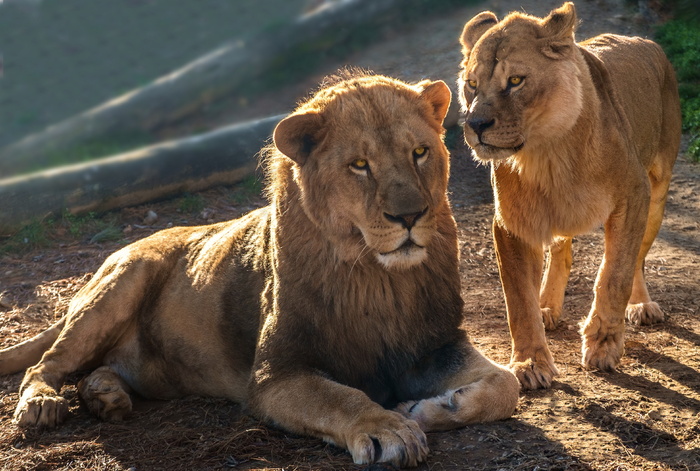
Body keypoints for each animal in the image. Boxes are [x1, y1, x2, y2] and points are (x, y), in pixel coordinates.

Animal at [1, 73, 520, 468]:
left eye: (419, 153)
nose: (411, 216)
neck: (377, 280)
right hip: (123, 281)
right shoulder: (274, 376)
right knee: (46, 365)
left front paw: (425, 408)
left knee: (97, 370)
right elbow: (343, 397)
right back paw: (43, 404)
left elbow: (506, 384)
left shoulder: (436, 345)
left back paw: (106, 396)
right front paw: (389, 428)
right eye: (359, 165)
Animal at [456, 1, 680, 390]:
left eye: (516, 81)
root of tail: (646, 41)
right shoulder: (512, 223)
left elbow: (615, 274)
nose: (476, 125)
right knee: (562, 252)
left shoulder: (633, 195)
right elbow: (519, 300)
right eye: (471, 85)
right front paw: (530, 362)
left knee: (637, 258)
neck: (548, 154)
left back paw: (641, 305)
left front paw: (602, 344)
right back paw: (548, 306)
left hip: (658, 190)